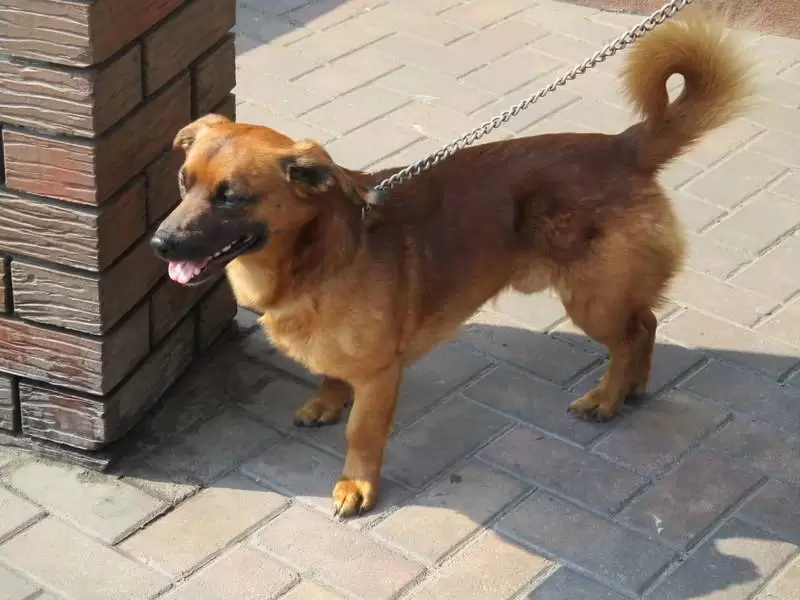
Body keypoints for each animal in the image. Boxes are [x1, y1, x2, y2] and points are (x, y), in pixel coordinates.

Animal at [151, 15, 753, 518]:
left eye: (232, 198)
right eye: (183, 182)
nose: (160, 243)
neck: (315, 256)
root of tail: (622, 147)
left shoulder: (380, 375)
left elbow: (361, 435)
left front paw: (357, 483)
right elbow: (330, 372)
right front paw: (327, 399)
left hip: (593, 300)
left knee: (631, 335)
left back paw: (607, 397)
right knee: (646, 324)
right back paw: (632, 389)